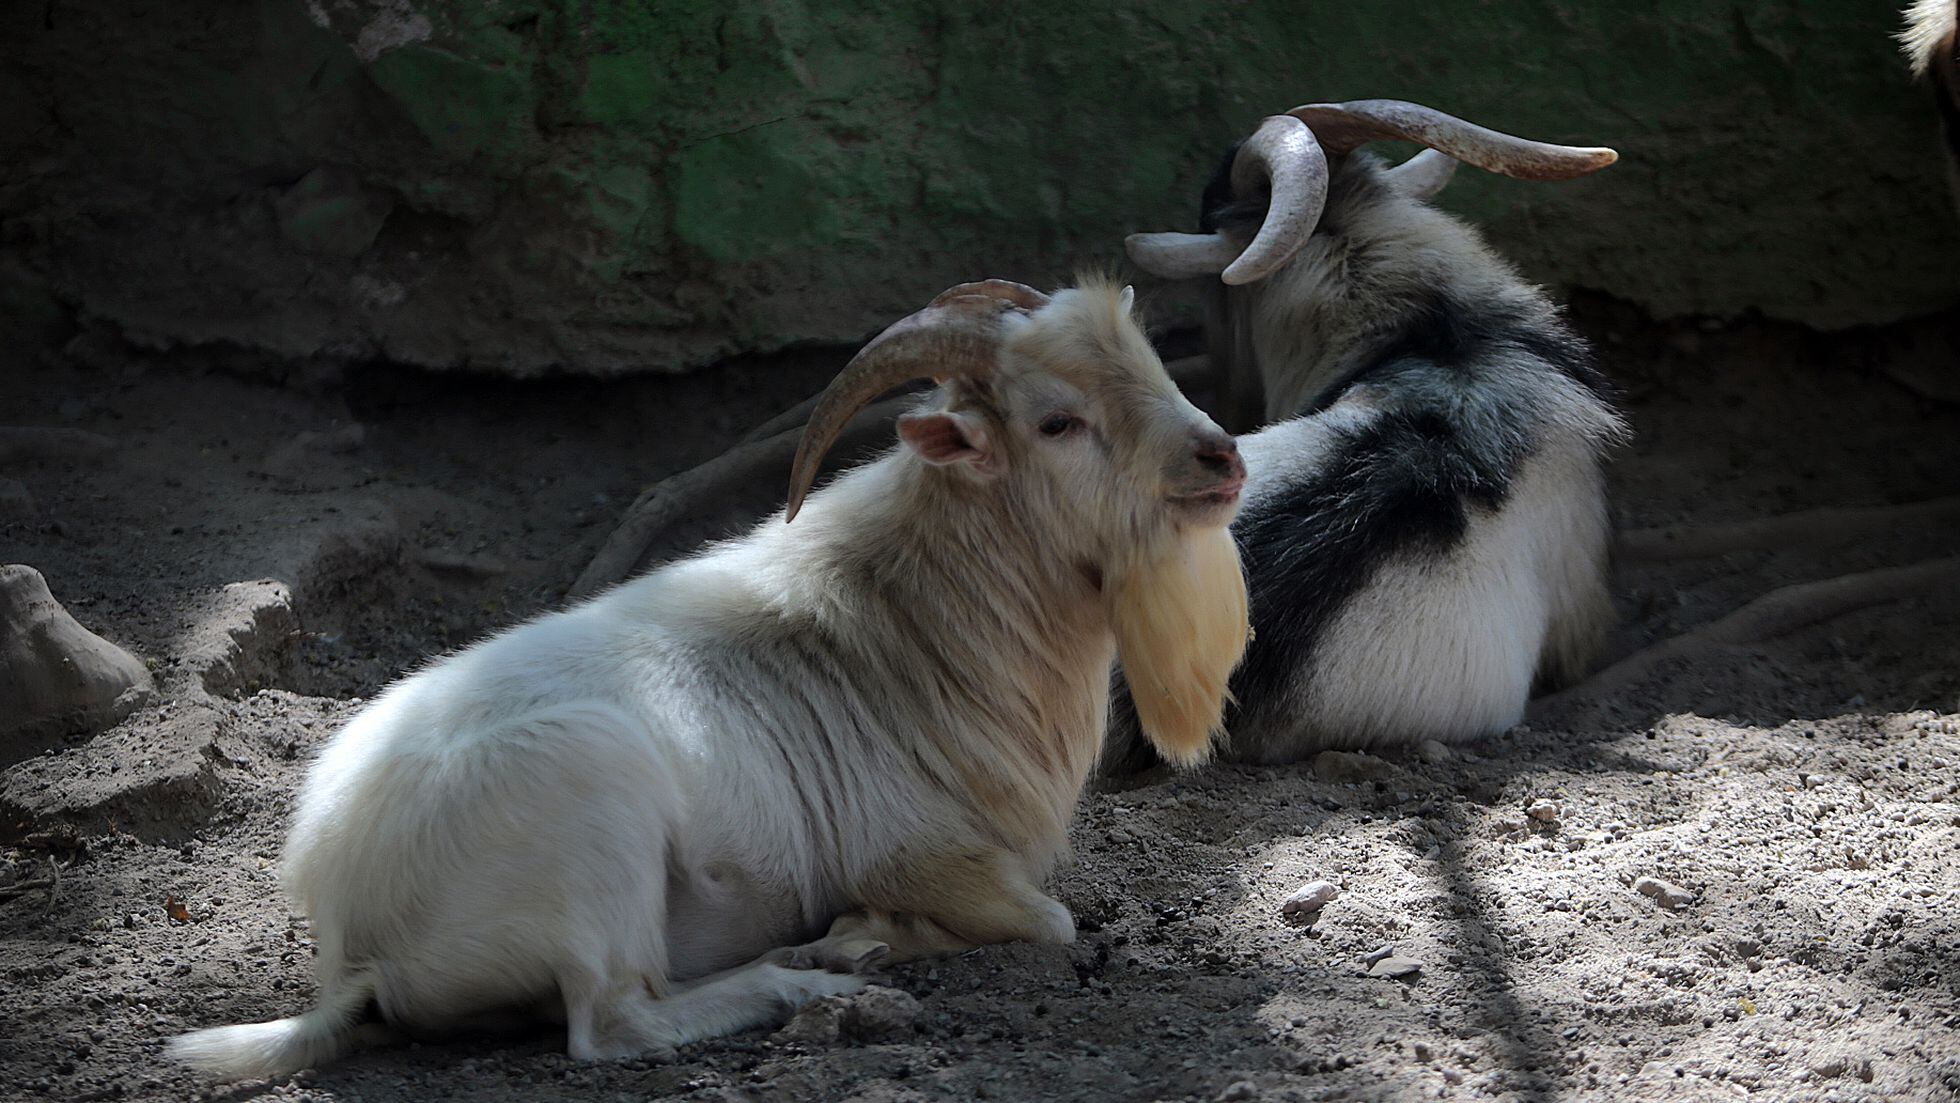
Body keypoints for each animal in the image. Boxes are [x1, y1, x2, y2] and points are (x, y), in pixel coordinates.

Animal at [164, 278, 1238, 1081]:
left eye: (1148, 367)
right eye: (1058, 421)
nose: (1222, 455)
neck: (904, 623)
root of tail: (353, 931)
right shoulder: (927, 855)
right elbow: (1051, 924)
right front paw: (864, 931)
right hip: (594, 823)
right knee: (612, 1024)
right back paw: (817, 975)